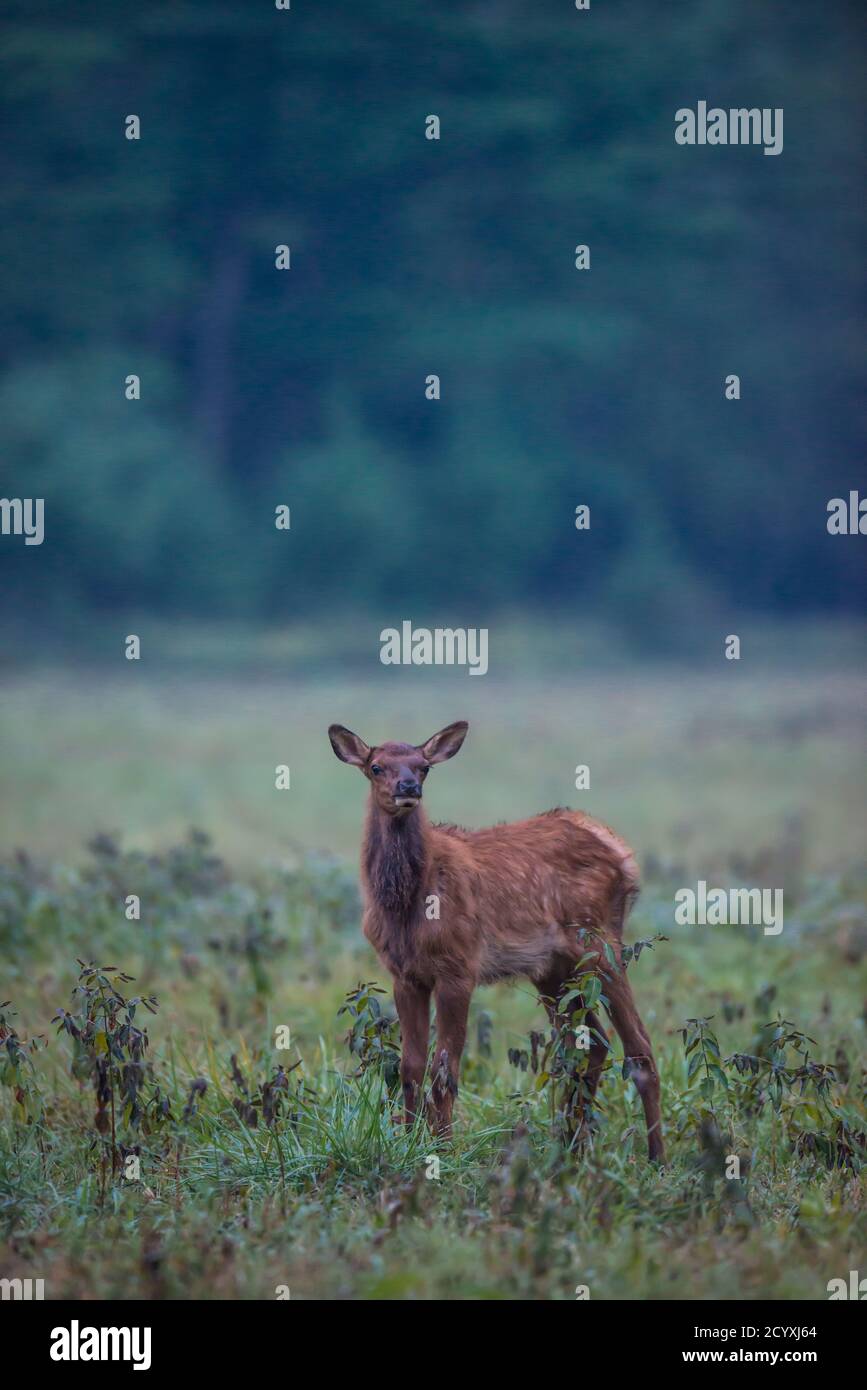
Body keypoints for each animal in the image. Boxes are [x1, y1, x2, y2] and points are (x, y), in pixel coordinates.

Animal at [326, 722, 664, 1156]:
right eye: (376, 766)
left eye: (424, 767)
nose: (408, 787)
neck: (410, 902)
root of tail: (622, 853)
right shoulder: (406, 974)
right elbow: (410, 1066)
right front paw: (411, 1144)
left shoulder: (458, 966)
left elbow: (444, 1068)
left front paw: (443, 1150)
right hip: (553, 970)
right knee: (590, 1044)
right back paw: (570, 1144)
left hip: (600, 945)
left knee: (640, 1046)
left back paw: (654, 1157)